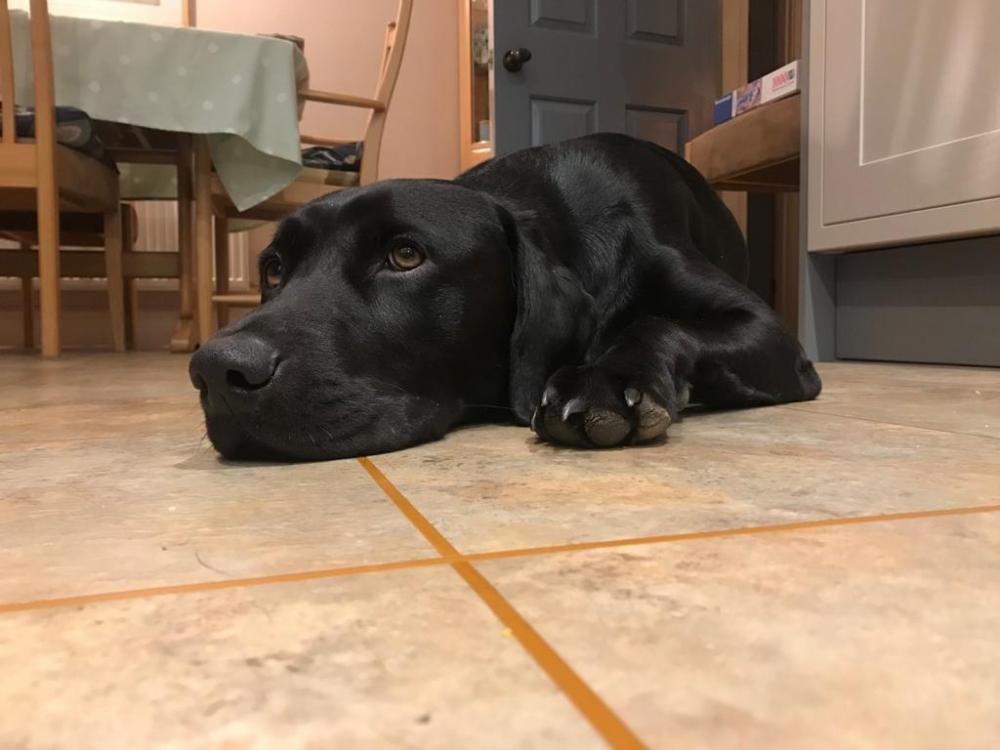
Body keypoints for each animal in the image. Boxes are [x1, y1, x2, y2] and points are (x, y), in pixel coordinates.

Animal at [188, 136, 820, 464]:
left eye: (405, 256)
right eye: (273, 268)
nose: (215, 370)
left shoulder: (771, 335)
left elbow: (659, 323)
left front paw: (604, 379)